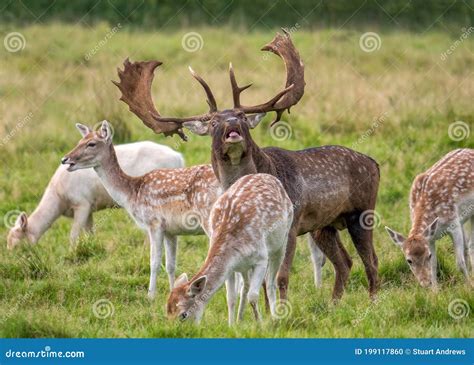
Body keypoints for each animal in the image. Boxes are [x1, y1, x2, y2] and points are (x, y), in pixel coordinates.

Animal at [6, 141, 183, 249]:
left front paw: (71, 253)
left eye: (17, 245)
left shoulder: (82, 204)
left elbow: (73, 235)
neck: (58, 200)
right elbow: (89, 234)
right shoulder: (89, 208)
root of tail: (179, 157)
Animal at [61, 121, 222, 298]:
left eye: (91, 144)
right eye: (79, 141)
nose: (65, 159)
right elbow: (170, 264)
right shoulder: (171, 230)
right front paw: (171, 293)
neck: (132, 194)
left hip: (209, 217)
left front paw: (150, 296)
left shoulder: (154, 222)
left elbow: (154, 262)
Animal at [113, 31, 380, 300]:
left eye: (241, 116)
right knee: (345, 262)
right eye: (213, 122)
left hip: (362, 211)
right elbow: (259, 283)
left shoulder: (291, 225)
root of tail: (374, 163)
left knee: (371, 261)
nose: (231, 122)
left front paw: (282, 307)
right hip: (324, 225)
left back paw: (372, 301)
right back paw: (334, 303)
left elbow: (281, 277)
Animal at [167, 172, 292, 322]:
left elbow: (253, 296)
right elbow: (231, 298)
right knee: (246, 285)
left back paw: (275, 317)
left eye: (183, 315)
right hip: (244, 267)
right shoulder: (230, 268)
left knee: (270, 282)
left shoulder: (261, 258)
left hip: (283, 239)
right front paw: (231, 324)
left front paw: (260, 323)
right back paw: (240, 318)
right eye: (167, 312)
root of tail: (269, 176)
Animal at [386, 149, 474, 288]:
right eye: (409, 260)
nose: (425, 283)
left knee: (470, 245)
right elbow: (433, 266)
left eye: (428, 255)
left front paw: (469, 286)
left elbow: (459, 262)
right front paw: (435, 292)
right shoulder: (431, 237)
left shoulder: (453, 223)